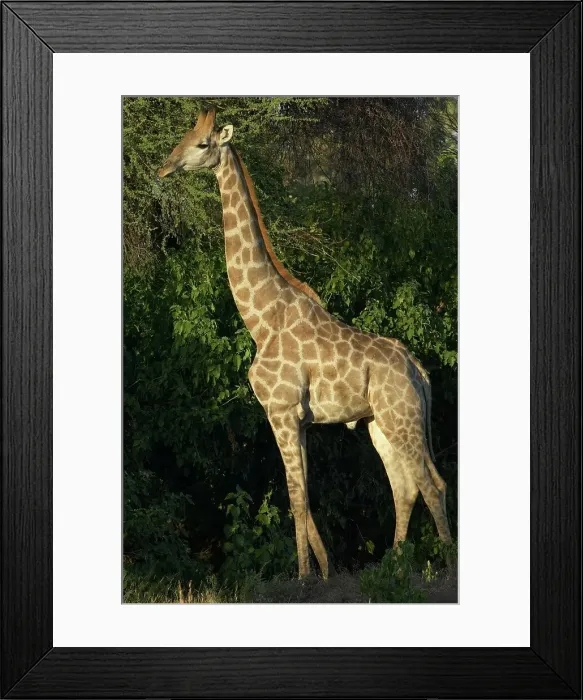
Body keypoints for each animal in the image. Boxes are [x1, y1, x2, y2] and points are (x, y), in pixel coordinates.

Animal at [158, 109, 452, 579]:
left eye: (203, 144)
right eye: (184, 136)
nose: (165, 167)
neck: (260, 319)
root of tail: (419, 371)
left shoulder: (280, 411)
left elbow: (296, 499)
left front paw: (301, 576)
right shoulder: (297, 418)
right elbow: (304, 498)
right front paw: (325, 570)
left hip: (401, 417)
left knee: (431, 483)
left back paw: (442, 565)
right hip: (380, 423)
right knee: (405, 487)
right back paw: (395, 565)